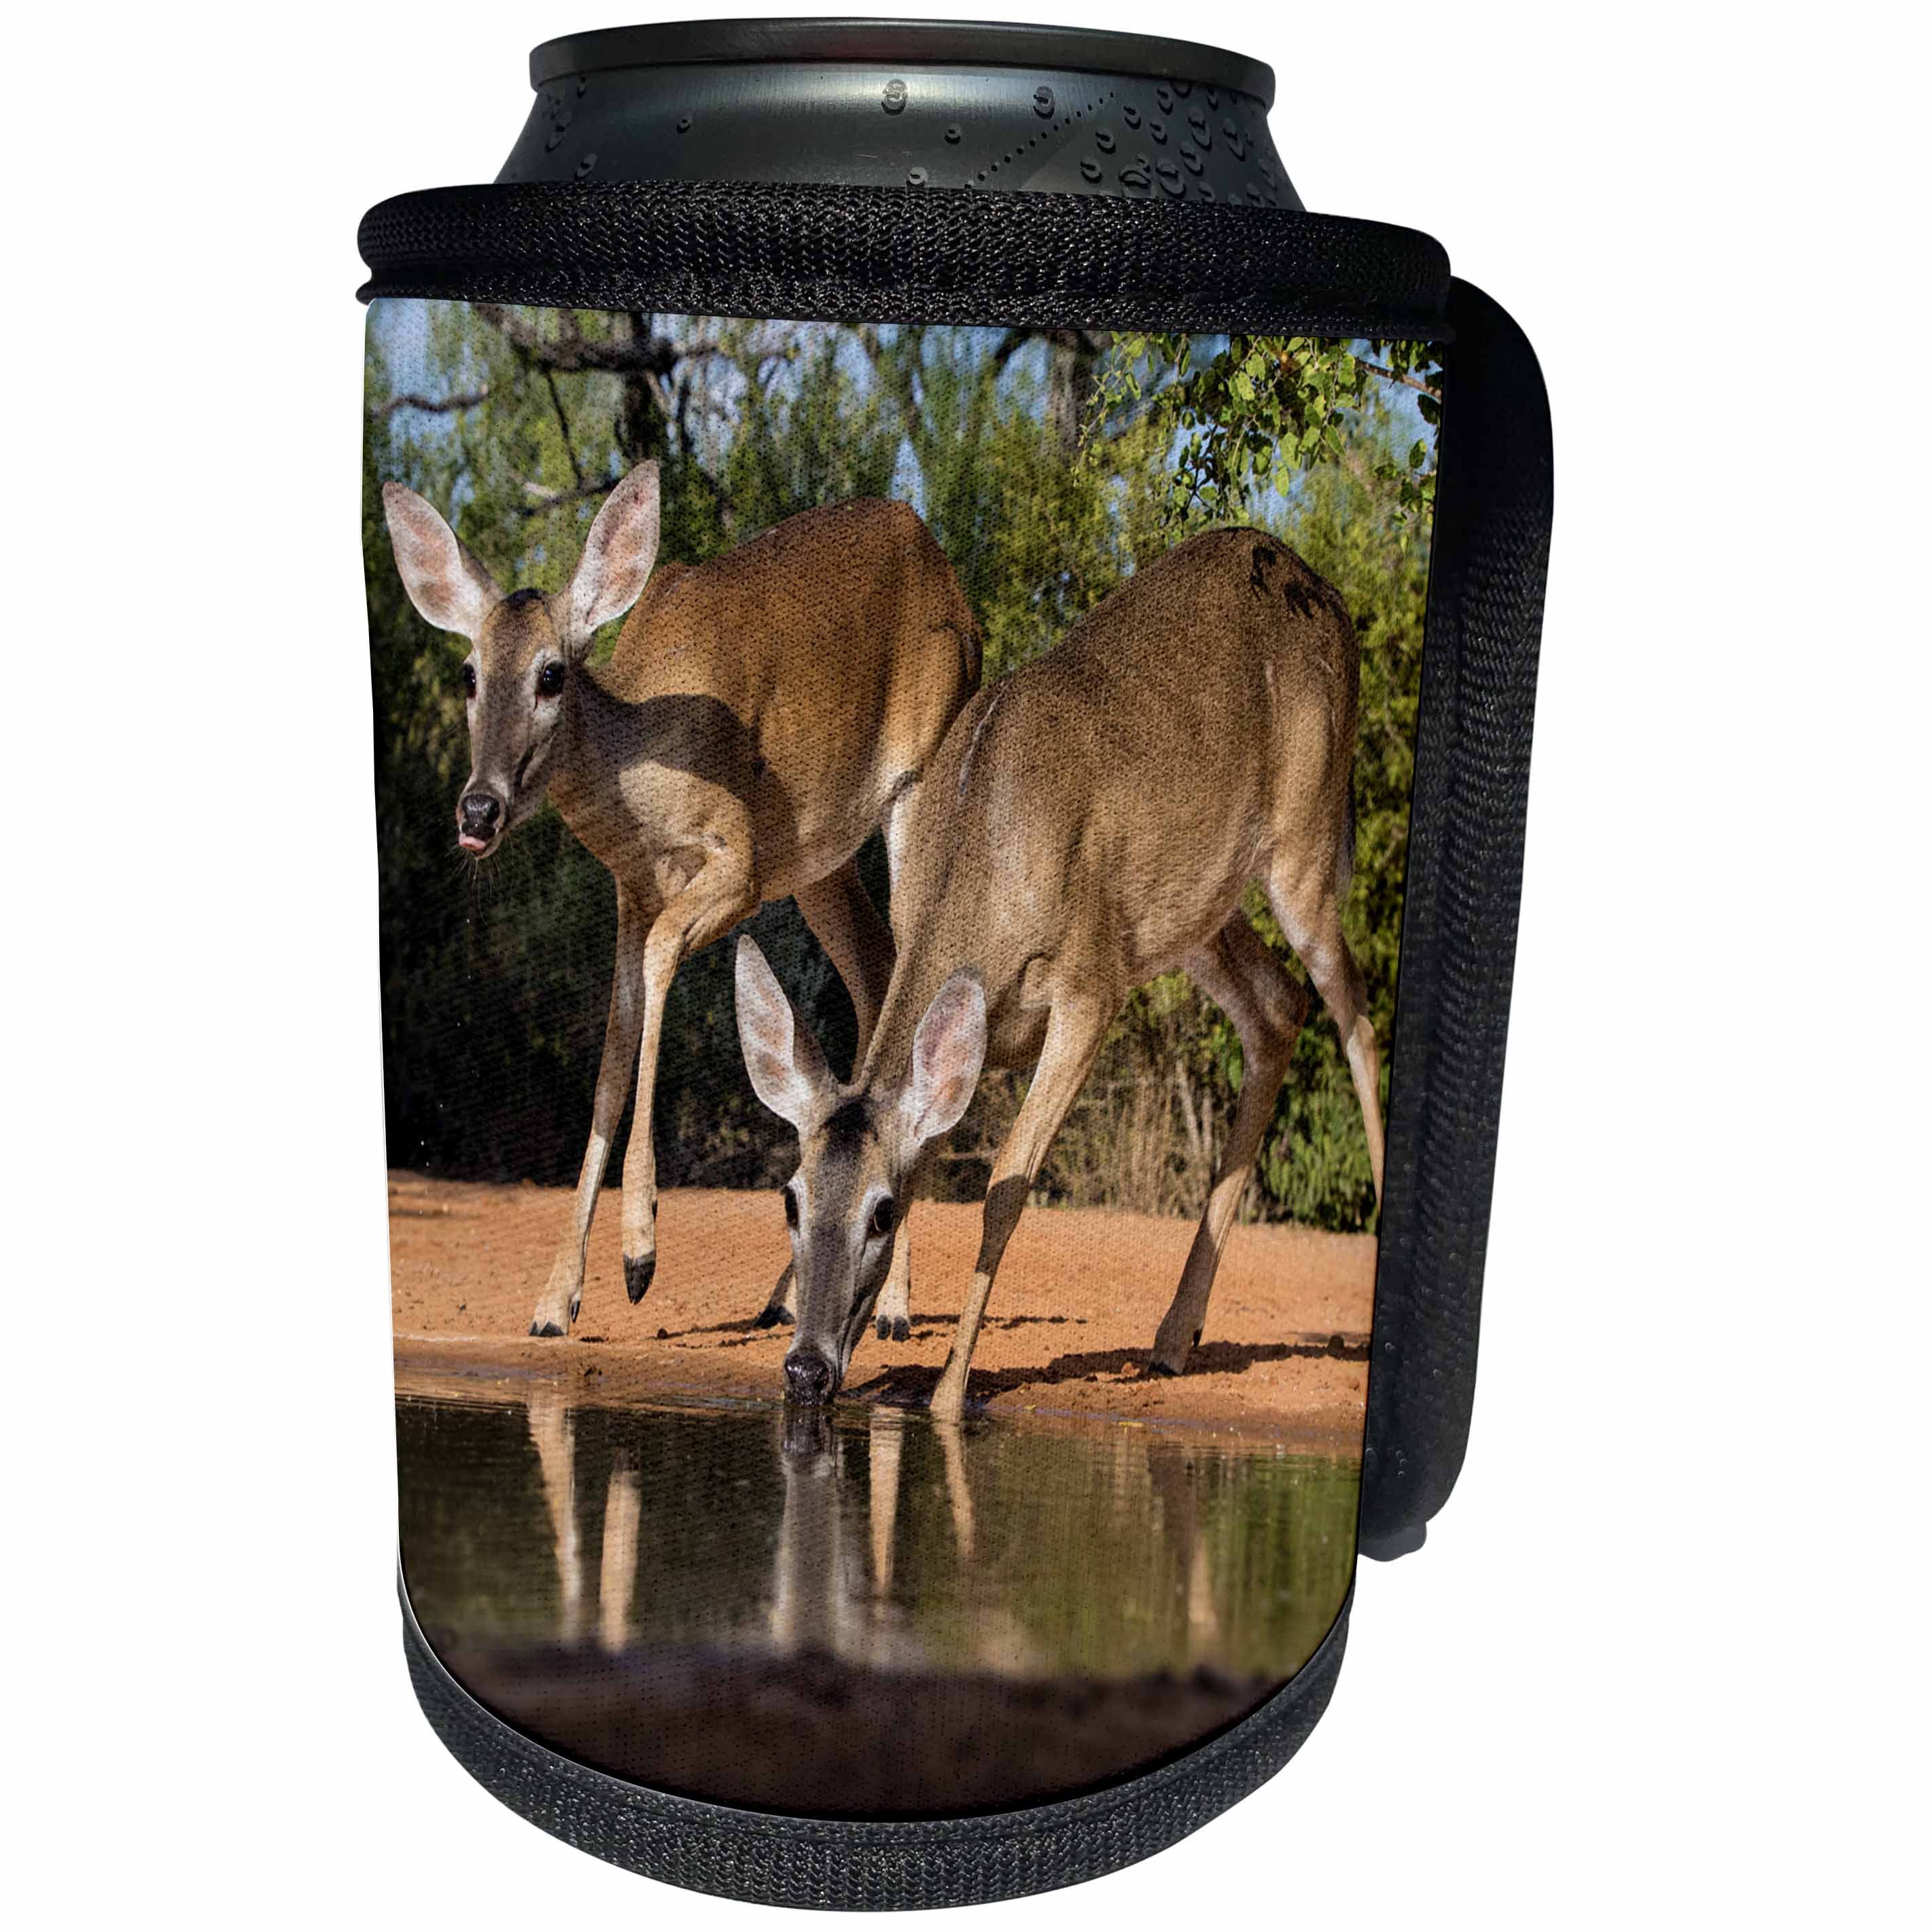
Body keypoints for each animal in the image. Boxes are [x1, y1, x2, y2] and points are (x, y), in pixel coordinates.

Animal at [382, 462, 980, 1338]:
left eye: (551, 673)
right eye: (468, 673)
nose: (477, 810)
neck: (638, 772)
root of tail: (950, 579)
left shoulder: (736, 865)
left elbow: (663, 966)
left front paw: (639, 1253)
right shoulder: (632, 891)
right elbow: (610, 1054)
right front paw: (554, 1301)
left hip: (915, 781)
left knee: (913, 968)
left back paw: (894, 1309)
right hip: (820, 860)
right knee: (875, 972)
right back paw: (789, 1294)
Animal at [733, 527, 1386, 1423]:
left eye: (882, 1213)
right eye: (790, 1200)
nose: (804, 1369)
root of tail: (1325, 591)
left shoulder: (1087, 985)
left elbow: (1006, 1182)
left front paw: (949, 1394)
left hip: (1303, 841)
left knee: (1353, 1012)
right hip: (1189, 911)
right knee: (1278, 1007)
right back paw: (1173, 1336)